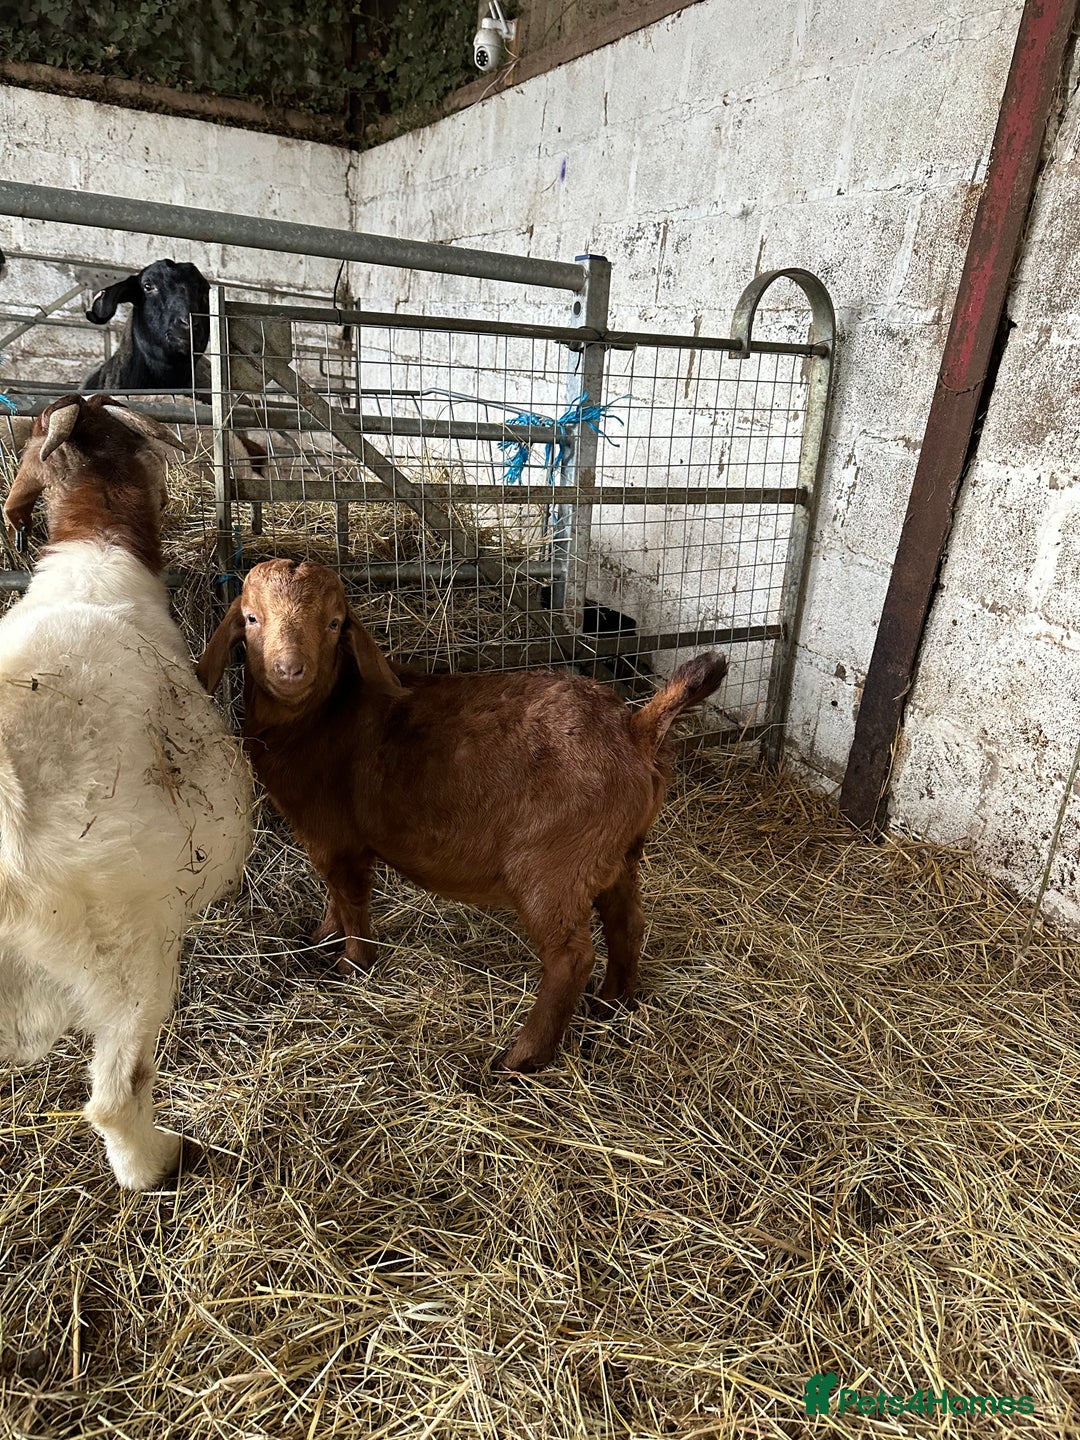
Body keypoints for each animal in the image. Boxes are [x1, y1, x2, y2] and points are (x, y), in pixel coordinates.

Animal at [198, 559, 726, 1073]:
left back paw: (522, 1057)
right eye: (251, 618)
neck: (319, 717)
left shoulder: (336, 836)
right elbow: (336, 897)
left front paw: (353, 964)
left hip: (553, 865)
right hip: (617, 852)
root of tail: (635, 729)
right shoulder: (332, 839)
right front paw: (320, 937)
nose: (289, 669)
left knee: (571, 957)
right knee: (627, 922)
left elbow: (352, 899)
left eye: (333, 623)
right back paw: (613, 1002)